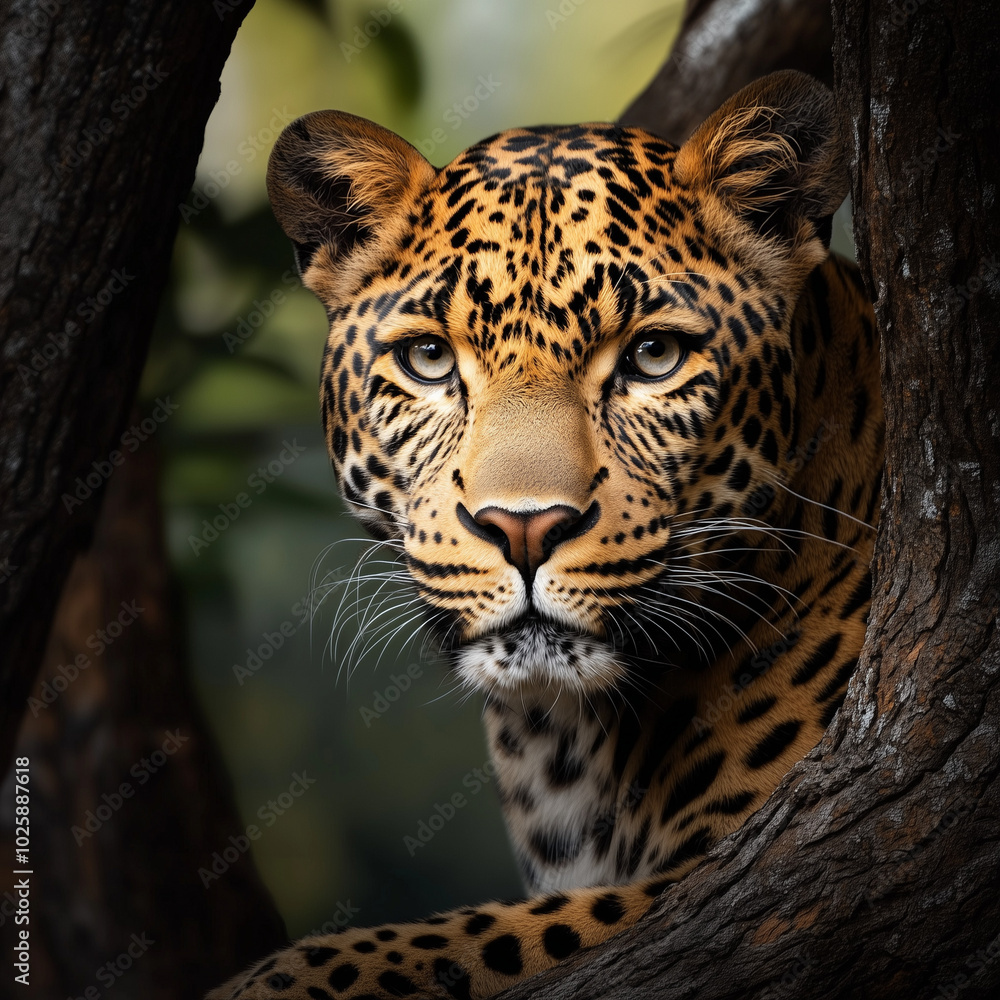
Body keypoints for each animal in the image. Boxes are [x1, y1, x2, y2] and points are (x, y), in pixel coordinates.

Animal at [209, 70, 884, 1000]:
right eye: (428, 360)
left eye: (653, 356)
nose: (523, 530)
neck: (571, 737)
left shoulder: (726, 878)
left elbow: (458, 939)